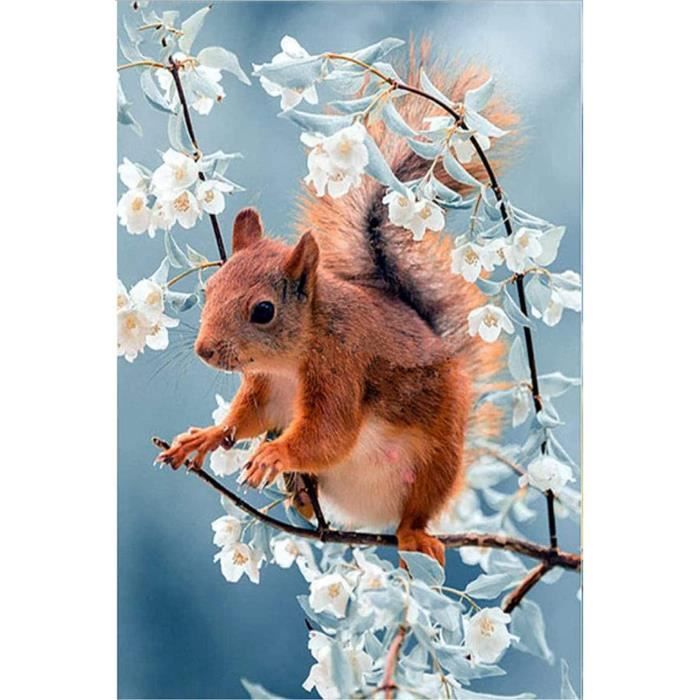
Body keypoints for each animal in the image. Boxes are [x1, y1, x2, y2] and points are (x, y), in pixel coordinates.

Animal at [158, 43, 515, 565]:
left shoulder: (341, 369)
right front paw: (205, 437)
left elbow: (330, 434)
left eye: (263, 311)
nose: (204, 350)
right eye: (209, 289)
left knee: (417, 509)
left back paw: (413, 536)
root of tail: (369, 516)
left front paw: (275, 453)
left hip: (438, 462)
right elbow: (245, 419)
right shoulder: (264, 389)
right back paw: (302, 498)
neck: (290, 360)